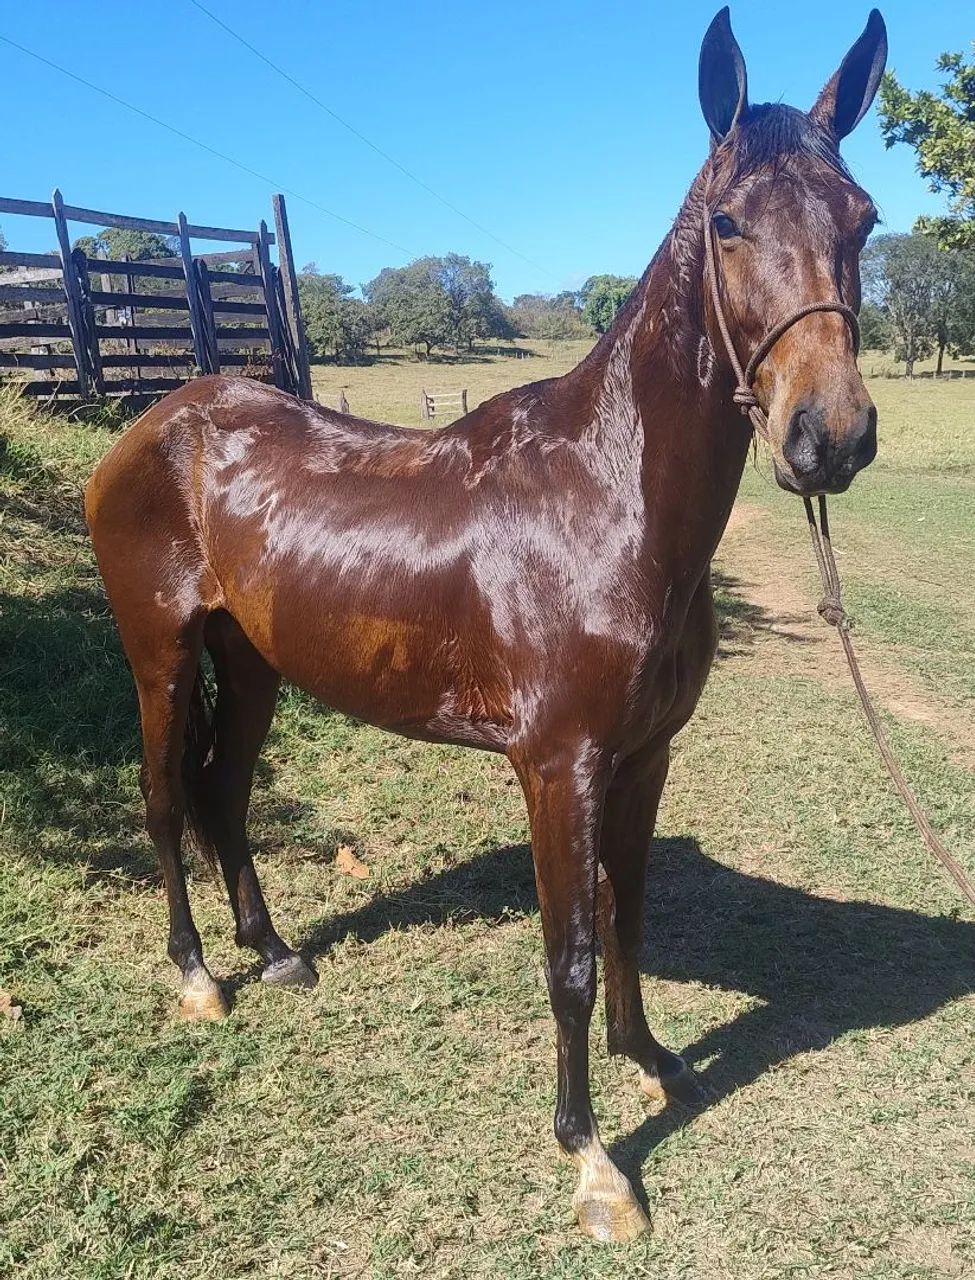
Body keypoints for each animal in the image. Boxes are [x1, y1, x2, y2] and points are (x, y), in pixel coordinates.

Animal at [85, 7, 888, 1243]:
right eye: (728, 223)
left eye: (863, 218)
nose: (830, 436)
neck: (604, 501)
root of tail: (154, 423)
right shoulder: (558, 764)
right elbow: (569, 954)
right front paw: (593, 1158)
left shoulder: (644, 756)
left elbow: (627, 913)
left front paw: (655, 1060)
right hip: (162, 654)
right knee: (169, 799)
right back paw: (198, 977)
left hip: (252, 662)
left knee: (223, 795)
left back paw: (274, 953)